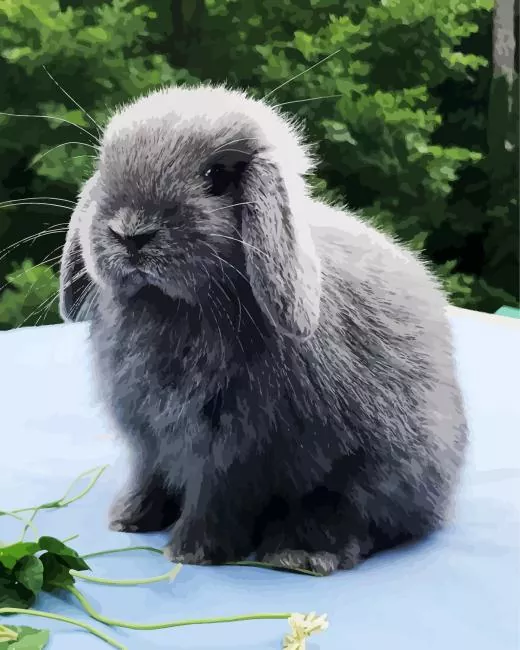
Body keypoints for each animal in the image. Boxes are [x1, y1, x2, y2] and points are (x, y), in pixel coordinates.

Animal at [59, 84, 468, 575]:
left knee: (352, 517)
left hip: (374, 475)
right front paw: (128, 519)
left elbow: (213, 498)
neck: (173, 307)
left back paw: (299, 553)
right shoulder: (150, 441)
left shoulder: (230, 450)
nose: (131, 233)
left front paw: (190, 552)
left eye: (216, 177)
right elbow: (150, 476)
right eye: (103, 167)